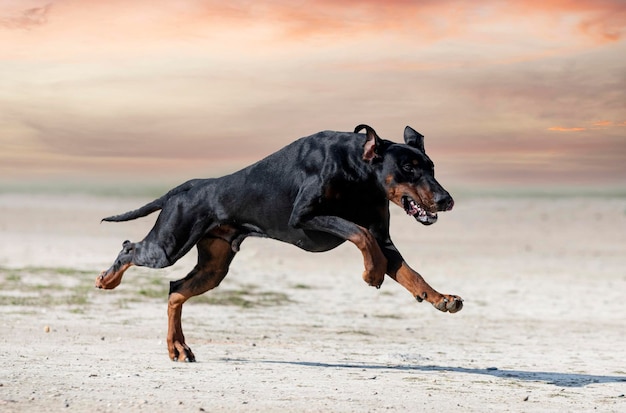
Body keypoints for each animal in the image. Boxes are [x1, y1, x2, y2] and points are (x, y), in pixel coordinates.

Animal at [96, 123, 458, 360]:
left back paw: (178, 347)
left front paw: (441, 298)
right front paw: (372, 272)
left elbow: (409, 272)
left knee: (175, 290)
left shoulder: (384, 238)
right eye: (408, 167)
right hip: (168, 245)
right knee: (130, 248)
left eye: (431, 167)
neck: (359, 170)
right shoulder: (306, 217)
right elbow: (360, 233)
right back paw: (107, 279)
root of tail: (187, 186)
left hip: (213, 268)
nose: (446, 200)